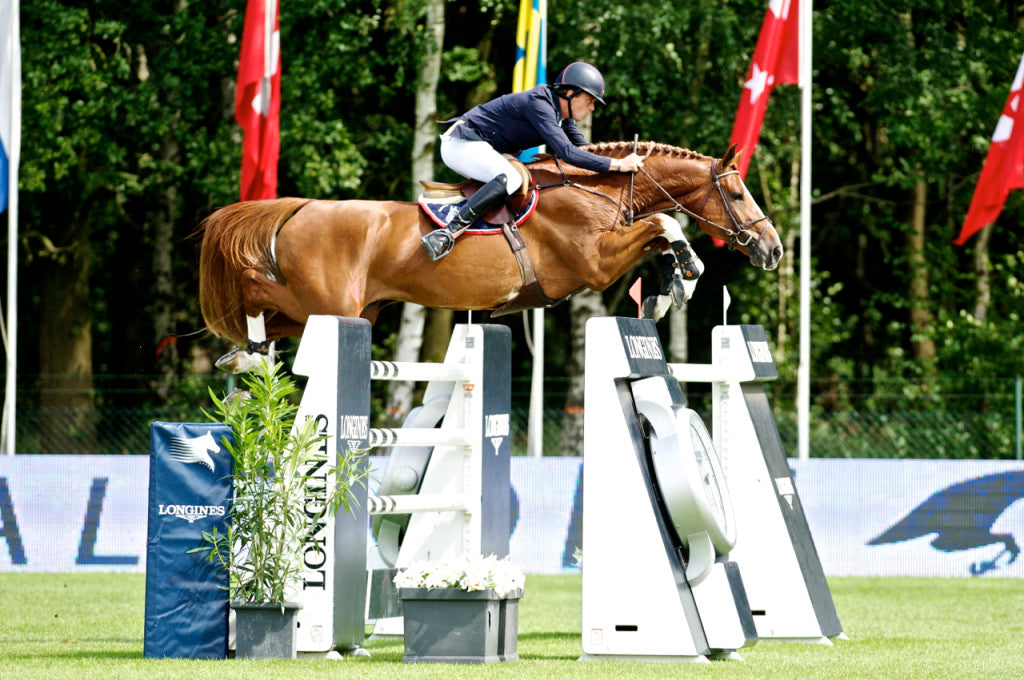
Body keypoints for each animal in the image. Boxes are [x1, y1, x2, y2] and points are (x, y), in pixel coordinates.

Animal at [199, 140, 782, 368]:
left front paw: (670, 288)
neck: (595, 189)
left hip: (338, 312)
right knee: (253, 286)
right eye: (737, 195)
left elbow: (661, 235)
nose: (773, 249)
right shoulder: (593, 265)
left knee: (270, 320)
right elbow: (663, 223)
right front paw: (683, 277)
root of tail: (301, 209)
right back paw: (245, 348)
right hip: (325, 302)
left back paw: (246, 354)